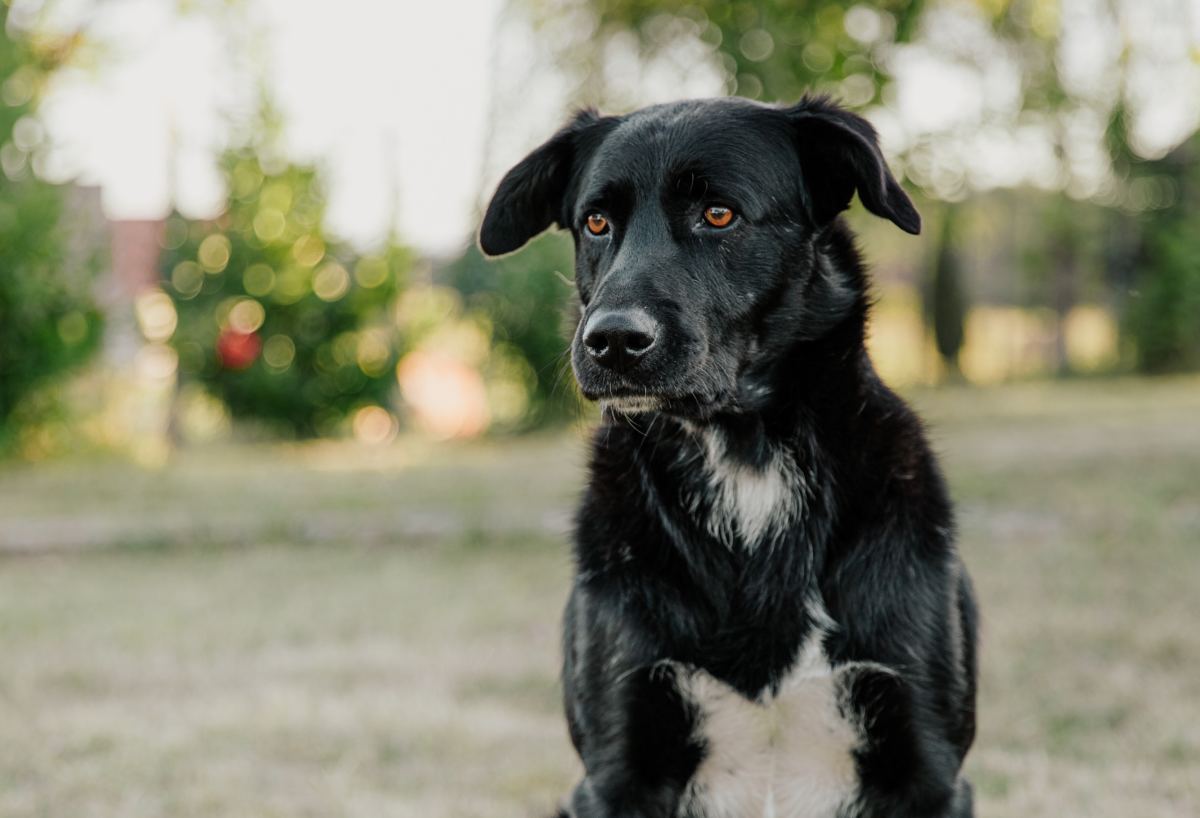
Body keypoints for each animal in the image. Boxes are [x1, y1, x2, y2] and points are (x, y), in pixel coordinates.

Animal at [475, 97, 974, 815]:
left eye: (718, 214)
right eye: (596, 221)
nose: (612, 341)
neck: (744, 457)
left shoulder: (926, 769)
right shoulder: (617, 770)